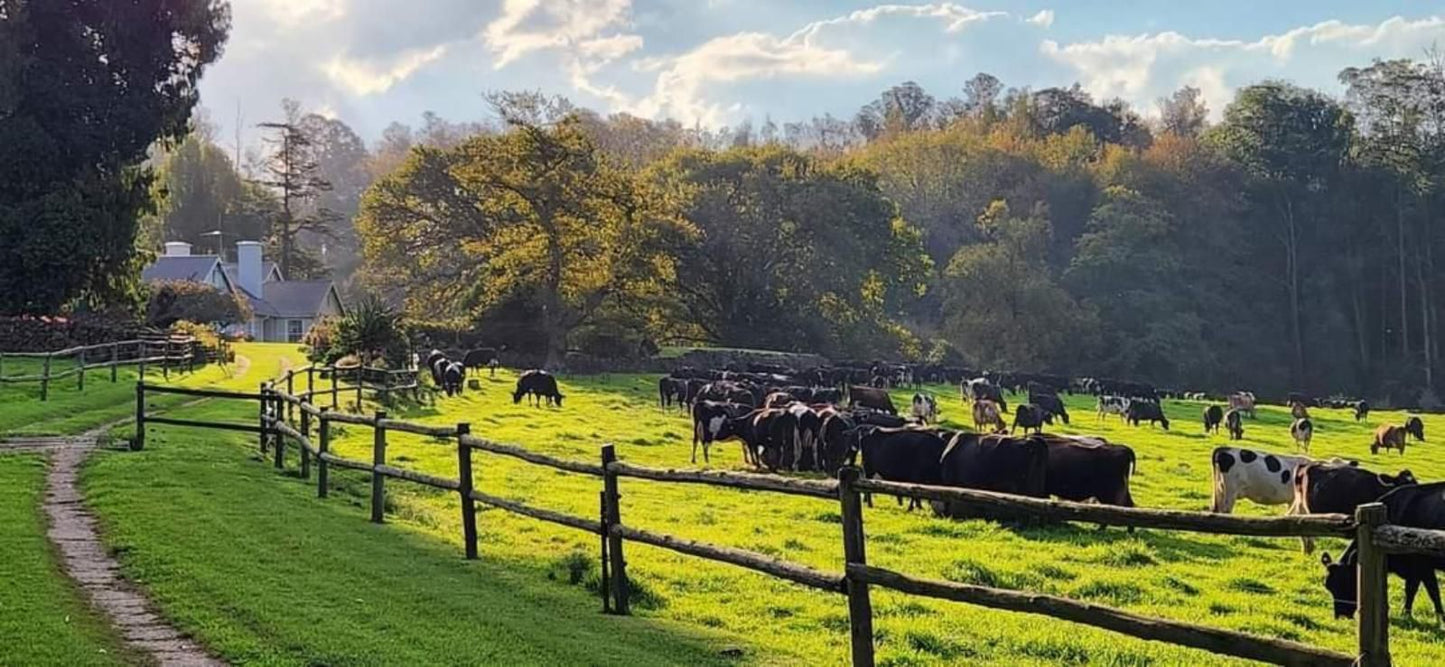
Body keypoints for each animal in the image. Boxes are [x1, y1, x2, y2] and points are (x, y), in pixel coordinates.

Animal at [1323, 482, 1445, 623]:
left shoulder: (1422, 565)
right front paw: (1407, 614)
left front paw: (1440, 617)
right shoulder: (1415, 570)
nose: (1341, 617)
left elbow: (1429, 591)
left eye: (1346, 583)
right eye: (1329, 586)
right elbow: (1414, 590)